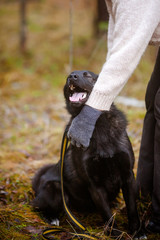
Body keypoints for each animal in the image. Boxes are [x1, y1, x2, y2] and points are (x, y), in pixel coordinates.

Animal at [31, 71, 141, 236]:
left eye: (88, 76)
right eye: (68, 77)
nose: (72, 76)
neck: (98, 125)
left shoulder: (128, 175)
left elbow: (132, 208)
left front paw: (138, 233)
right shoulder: (95, 185)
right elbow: (107, 215)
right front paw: (116, 234)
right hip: (56, 189)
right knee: (36, 205)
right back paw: (52, 218)